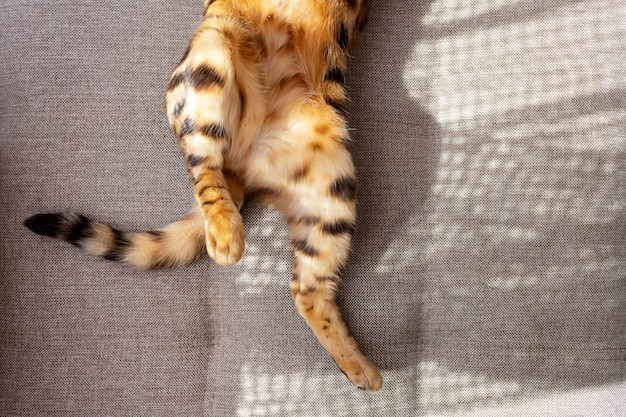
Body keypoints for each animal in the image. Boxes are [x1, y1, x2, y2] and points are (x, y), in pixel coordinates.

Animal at [23, 0, 380, 390]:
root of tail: (246, 165)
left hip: (332, 185)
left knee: (305, 290)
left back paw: (361, 368)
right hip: (212, 55)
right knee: (203, 168)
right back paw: (225, 235)